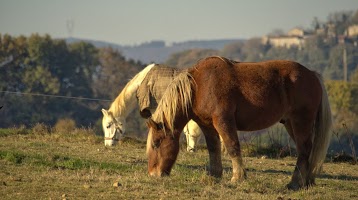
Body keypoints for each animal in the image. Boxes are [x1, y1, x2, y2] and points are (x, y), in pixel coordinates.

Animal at [146, 55, 332, 189]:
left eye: (156, 143)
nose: (153, 174)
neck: (199, 86)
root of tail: (312, 74)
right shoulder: (207, 126)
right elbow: (213, 149)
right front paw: (215, 175)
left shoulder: (223, 121)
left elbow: (232, 147)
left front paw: (238, 177)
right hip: (291, 124)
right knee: (306, 151)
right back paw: (305, 181)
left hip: (301, 121)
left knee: (304, 150)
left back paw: (294, 183)